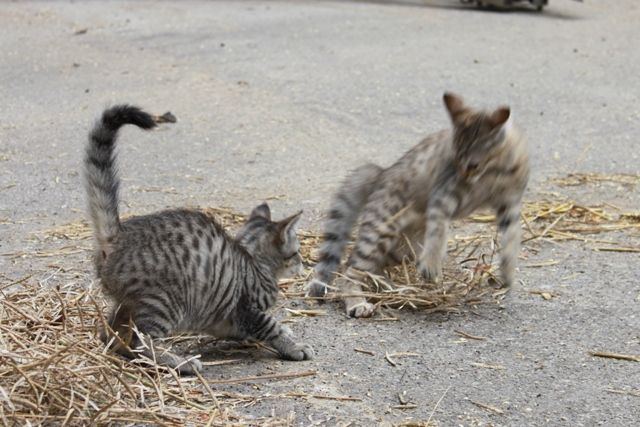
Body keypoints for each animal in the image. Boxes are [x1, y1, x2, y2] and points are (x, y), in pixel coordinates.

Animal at [84, 106, 314, 374]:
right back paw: (179, 362)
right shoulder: (247, 310)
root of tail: (118, 236)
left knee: (110, 335)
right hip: (164, 301)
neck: (254, 262)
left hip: (128, 304)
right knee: (140, 341)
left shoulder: (227, 320)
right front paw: (294, 346)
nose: (302, 264)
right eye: (296, 252)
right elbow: (270, 326)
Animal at [304, 93, 528, 318]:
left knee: (373, 268)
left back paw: (390, 288)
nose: (462, 174)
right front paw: (431, 266)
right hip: (381, 231)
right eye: (454, 159)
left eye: (473, 165)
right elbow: (438, 232)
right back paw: (358, 302)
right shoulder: (443, 195)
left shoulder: (509, 204)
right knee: (348, 271)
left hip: (404, 248)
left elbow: (512, 237)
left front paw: (508, 270)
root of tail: (381, 173)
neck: (494, 171)